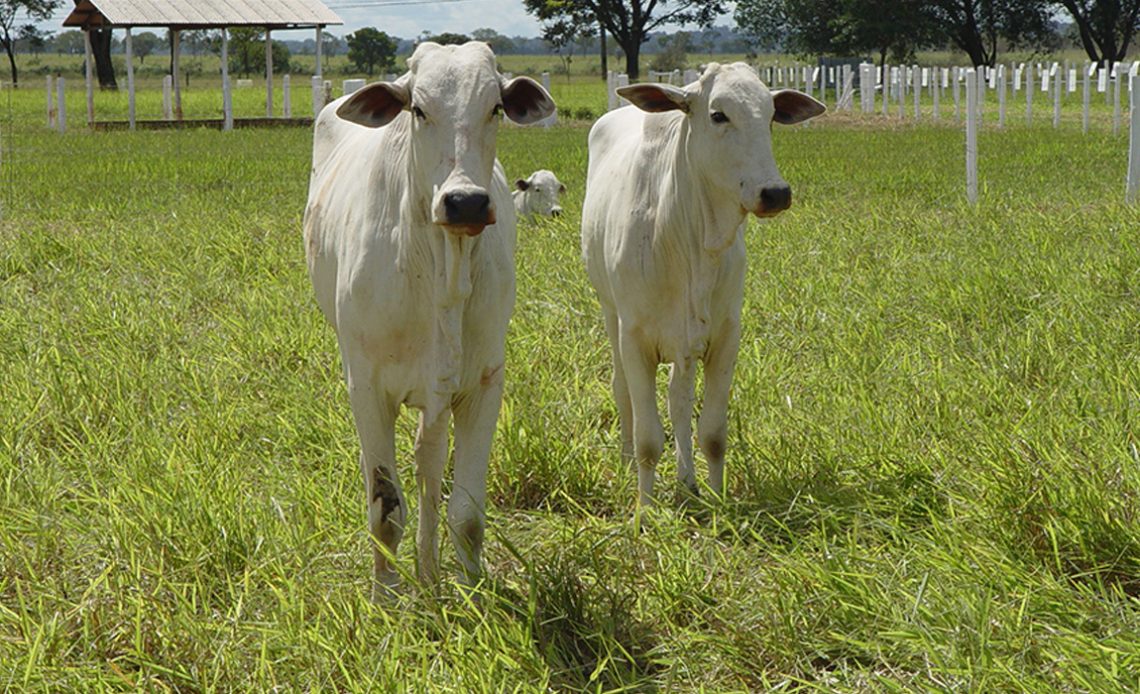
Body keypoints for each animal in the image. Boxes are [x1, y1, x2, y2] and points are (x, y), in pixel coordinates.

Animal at [300, 41, 554, 597]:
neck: (440, 270)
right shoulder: (367, 388)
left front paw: (473, 593)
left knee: (429, 466)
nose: (465, 202)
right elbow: (385, 510)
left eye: (495, 108)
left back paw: (430, 572)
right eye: (418, 109)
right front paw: (385, 600)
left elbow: (467, 512)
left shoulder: (483, 384)